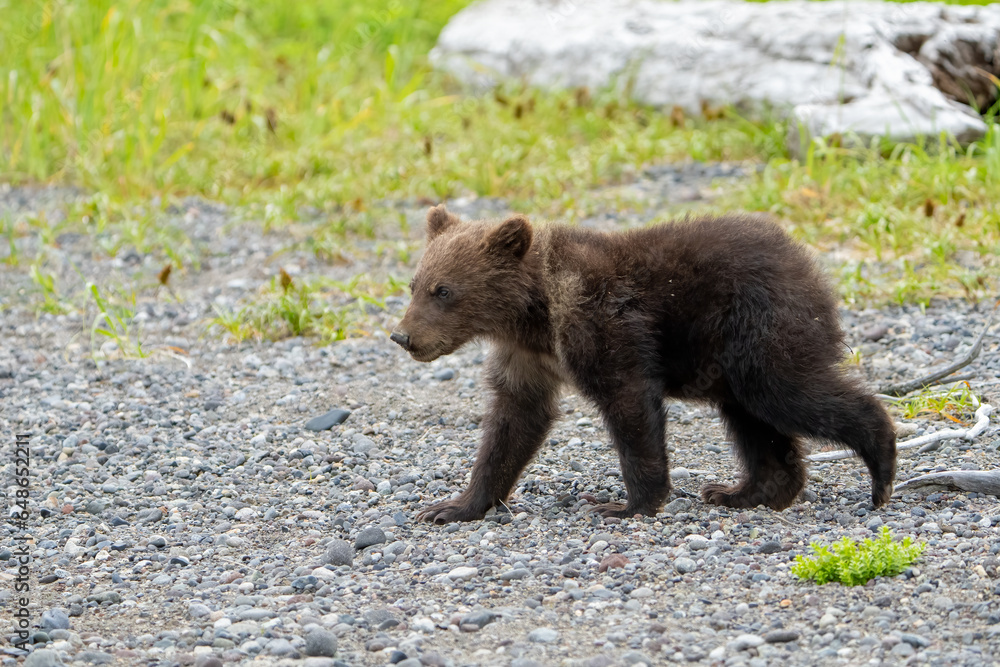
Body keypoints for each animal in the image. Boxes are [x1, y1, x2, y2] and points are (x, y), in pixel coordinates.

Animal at [390, 205, 897, 523]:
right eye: (414, 284)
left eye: (444, 290)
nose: (403, 336)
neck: (534, 314)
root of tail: (807, 262)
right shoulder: (527, 359)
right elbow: (514, 421)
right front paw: (452, 506)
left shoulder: (602, 322)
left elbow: (629, 403)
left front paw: (627, 505)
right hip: (732, 362)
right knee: (754, 421)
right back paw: (739, 492)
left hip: (760, 331)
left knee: (789, 393)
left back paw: (882, 471)